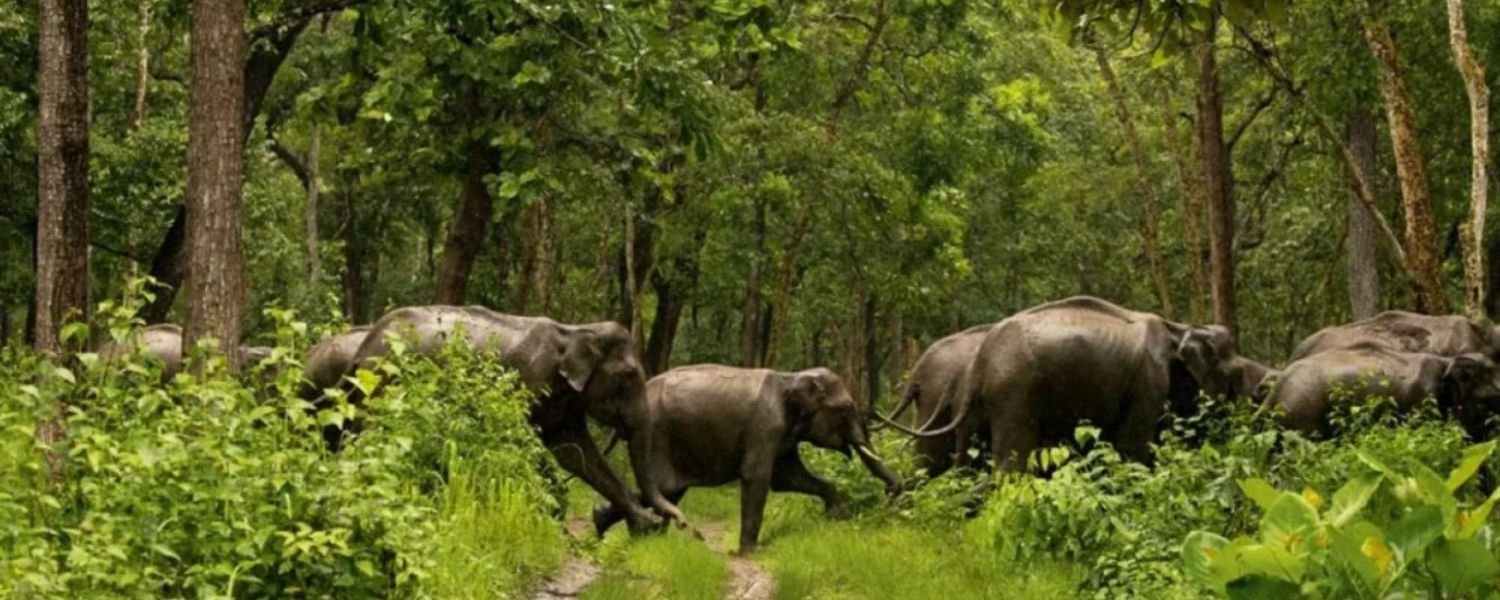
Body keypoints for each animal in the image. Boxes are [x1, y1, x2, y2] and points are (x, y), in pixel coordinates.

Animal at [343, 304, 672, 534]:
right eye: (628, 376)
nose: (662, 521)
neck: (575, 331)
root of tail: (365, 345)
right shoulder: (528, 380)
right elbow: (524, 440)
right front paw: (554, 513)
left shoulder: (565, 404)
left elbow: (576, 453)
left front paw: (644, 525)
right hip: (383, 382)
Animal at [882, 297, 1260, 471]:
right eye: (1236, 374)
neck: (1178, 327)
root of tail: (981, 361)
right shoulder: (1147, 386)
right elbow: (1134, 449)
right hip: (1014, 396)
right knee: (1008, 462)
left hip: (977, 405)